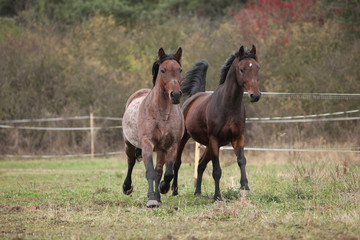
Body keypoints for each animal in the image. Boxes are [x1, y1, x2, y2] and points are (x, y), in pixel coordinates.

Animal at [122, 47, 184, 207]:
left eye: (180, 69)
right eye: (162, 70)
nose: (175, 95)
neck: (161, 114)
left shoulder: (171, 146)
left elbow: (166, 173)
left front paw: (162, 189)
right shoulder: (147, 144)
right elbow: (149, 171)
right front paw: (151, 199)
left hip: (160, 150)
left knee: (159, 171)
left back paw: (159, 195)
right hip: (129, 143)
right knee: (131, 162)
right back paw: (127, 187)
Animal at [172, 45, 260, 201]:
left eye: (257, 67)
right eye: (242, 69)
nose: (255, 95)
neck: (228, 106)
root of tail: (194, 97)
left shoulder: (238, 137)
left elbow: (241, 160)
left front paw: (245, 187)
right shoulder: (214, 139)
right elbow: (217, 170)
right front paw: (217, 196)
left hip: (209, 145)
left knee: (200, 164)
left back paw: (197, 193)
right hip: (184, 139)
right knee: (177, 163)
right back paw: (174, 191)